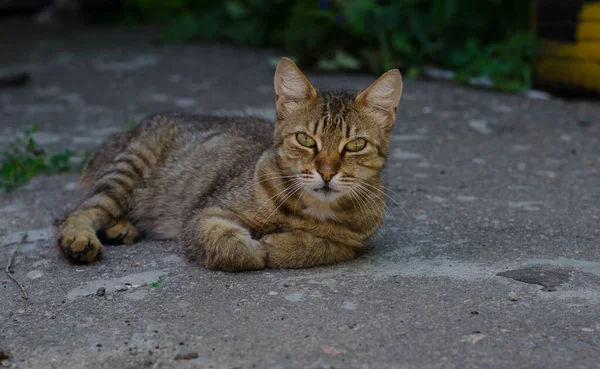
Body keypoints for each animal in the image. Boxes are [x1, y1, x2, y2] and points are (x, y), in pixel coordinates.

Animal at [56, 57, 404, 270]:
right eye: (306, 140)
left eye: (355, 145)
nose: (327, 173)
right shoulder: (202, 215)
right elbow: (227, 243)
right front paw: (254, 249)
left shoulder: (354, 243)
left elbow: (324, 246)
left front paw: (285, 245)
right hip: (128, 171)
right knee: (76, 212)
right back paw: (80, 239)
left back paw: (121, 228)